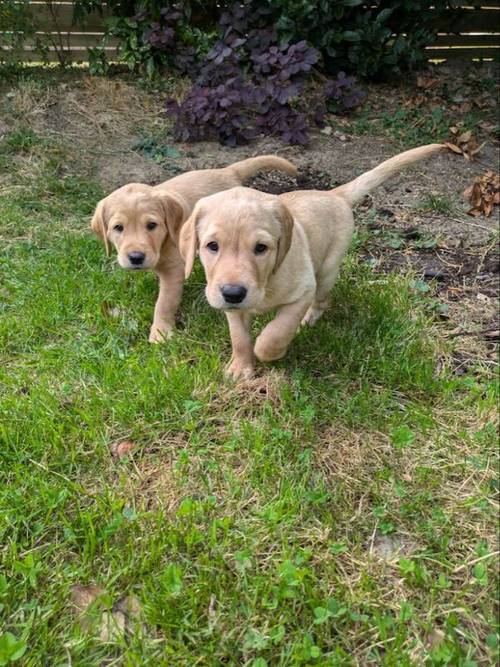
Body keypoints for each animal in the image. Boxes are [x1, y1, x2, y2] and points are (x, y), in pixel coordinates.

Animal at [90, 156, 296, 342]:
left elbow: (164, 303)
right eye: (118, 228)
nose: (136, 257)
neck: (163, 243)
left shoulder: (174, 272)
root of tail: (227, 171)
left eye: (151, 225)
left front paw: (160, 332)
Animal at [179, 143, 446, 378]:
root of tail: (334, 194)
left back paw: (307, 320)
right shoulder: (231, 308)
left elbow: (277, 331)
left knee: (321, 301)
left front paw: (269, 351)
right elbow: (239, 337)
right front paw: (240, 367)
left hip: (327, 271)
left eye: (261, 248)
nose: (233, 293)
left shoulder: (302, 291)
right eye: (212, 246)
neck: (267, 282)